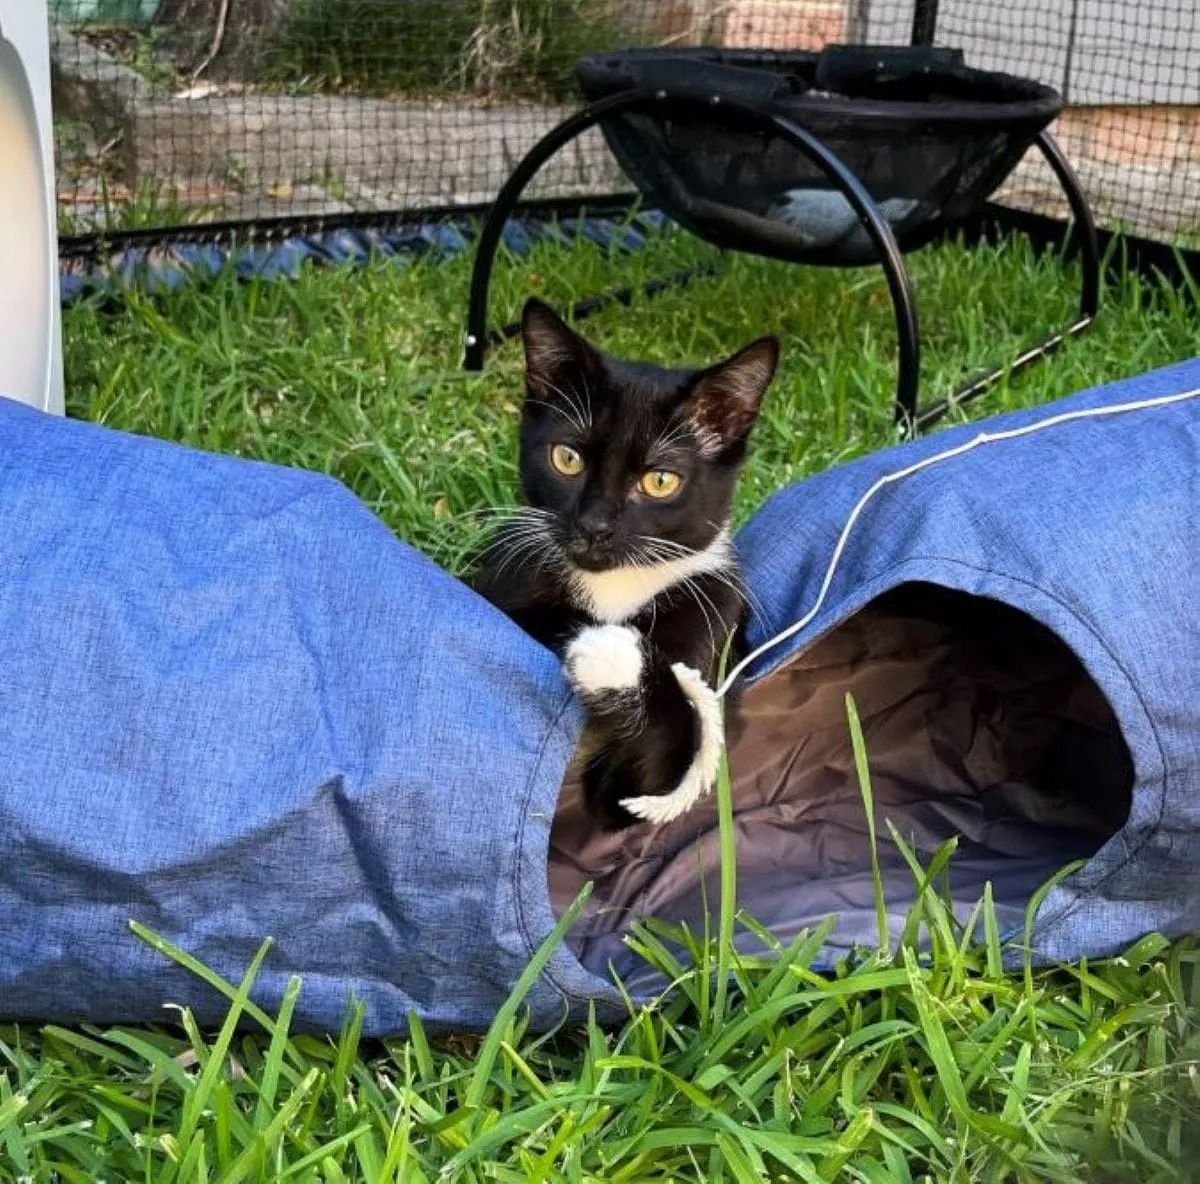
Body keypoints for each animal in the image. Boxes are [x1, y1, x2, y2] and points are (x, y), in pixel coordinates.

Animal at [468, 301, 777, 830]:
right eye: (567, 458)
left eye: (660, 481)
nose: (594, 525)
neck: (615, 586)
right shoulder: (506, 579)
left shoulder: (712, 613)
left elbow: (650, 783)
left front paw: (609, 655)